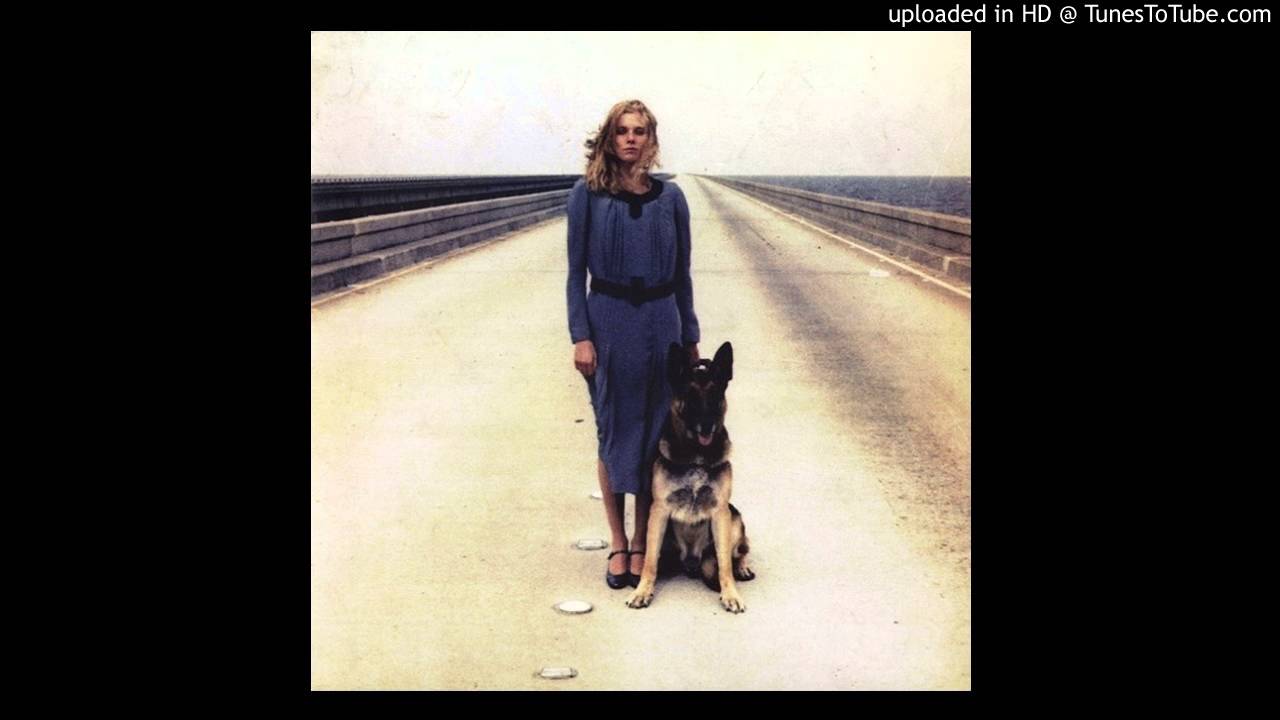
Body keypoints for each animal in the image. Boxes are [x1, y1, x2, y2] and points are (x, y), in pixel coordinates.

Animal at [625, 341, 755, 613]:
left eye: (715, 396)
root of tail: (692, 561)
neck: (696, 456)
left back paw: (742, 567)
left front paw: (731, 594)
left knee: (738, 551)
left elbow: (724, 565)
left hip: (734, 517)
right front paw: (642, 591)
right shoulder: (659, 511)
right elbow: (649, 561)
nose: (707, 426)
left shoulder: (720, 512)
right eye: (691, 396)